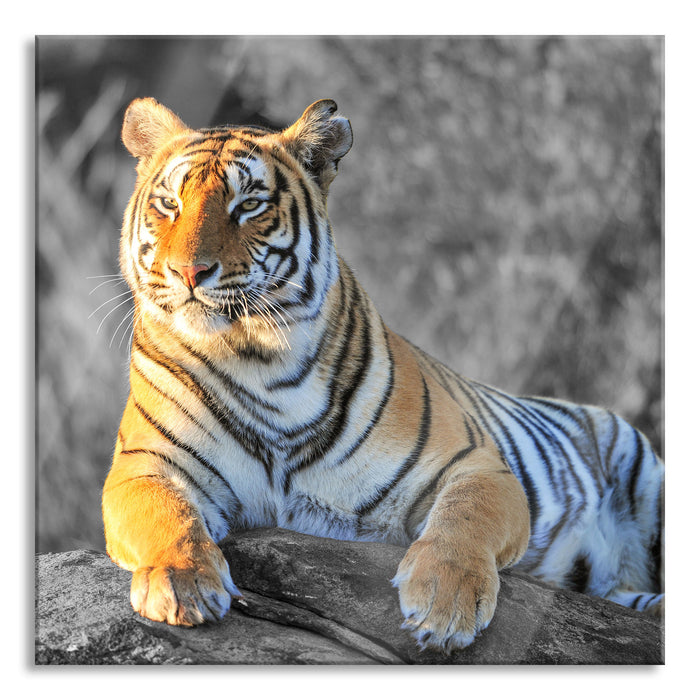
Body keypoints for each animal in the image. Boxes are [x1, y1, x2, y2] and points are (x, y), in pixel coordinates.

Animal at [102, 97, 664, 653]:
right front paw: (182, 583)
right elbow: (166, 516)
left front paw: (445, 603)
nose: (188, 272)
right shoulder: (143, 465)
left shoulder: (475, 465)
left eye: (249, 206)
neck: (258, 360)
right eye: (169, 204)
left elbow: (464, 519)